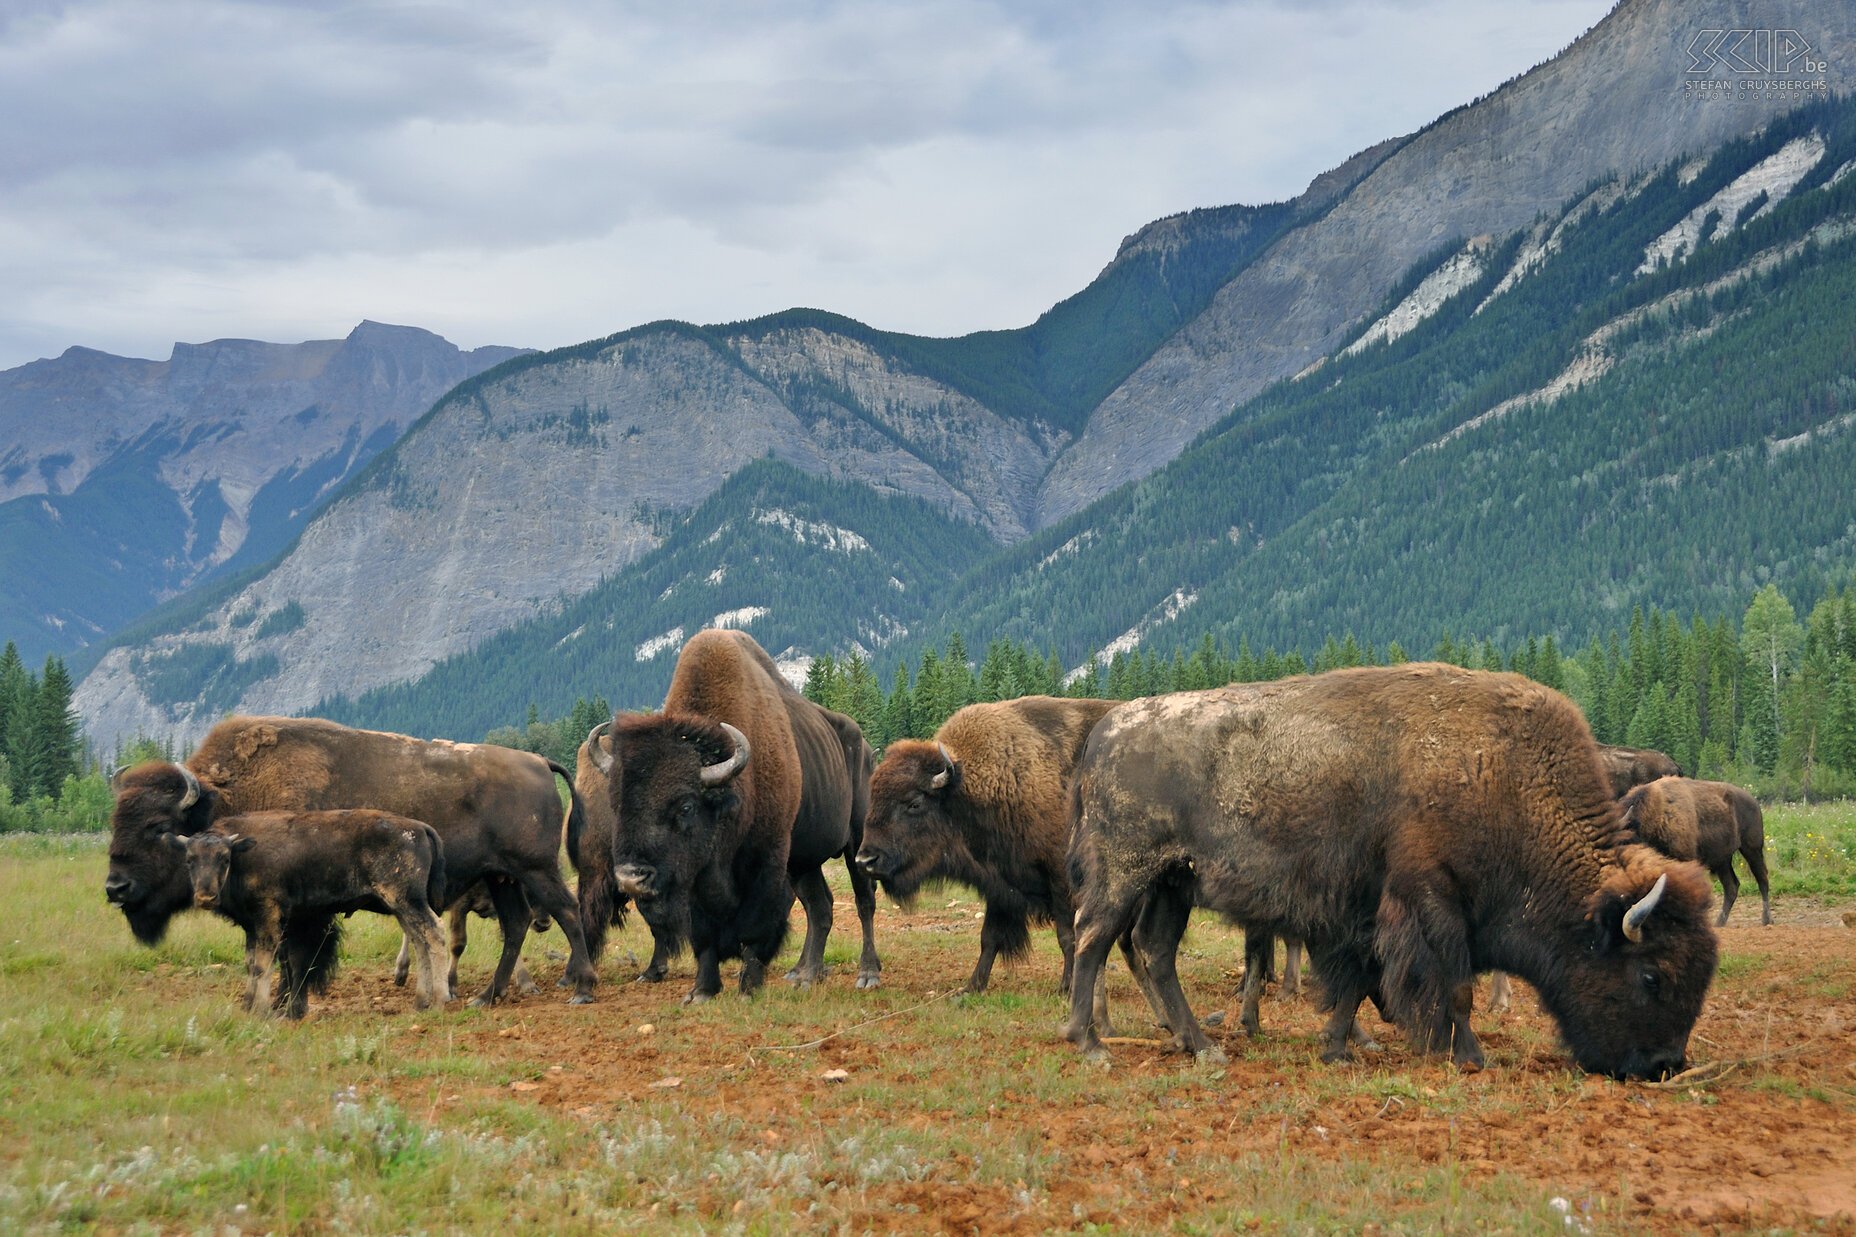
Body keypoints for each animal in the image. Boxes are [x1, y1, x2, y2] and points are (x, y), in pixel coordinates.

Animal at [175, 806, 447, 1017]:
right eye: (189, 859)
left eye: (224, 858)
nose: (205, 897)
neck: (243, 852)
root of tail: (420, 827)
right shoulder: (251, 926)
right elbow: (251, 963)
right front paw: (247, 1006)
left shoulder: (268, 917)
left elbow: (264, 965)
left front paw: (261, 1010)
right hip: (401, 907)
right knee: (420, 942)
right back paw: (420, 1001)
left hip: (407, 901)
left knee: (435, 934)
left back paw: (439, 1000)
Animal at [593, 631, 883, 995]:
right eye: (615, 803)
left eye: (686, 806)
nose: (632, 878)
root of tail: (865, 747)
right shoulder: (697, 879)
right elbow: (703, 936)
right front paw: (701, 992)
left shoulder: (768, 863)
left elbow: (755, 929)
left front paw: (749, 987)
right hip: (804, 860)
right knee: (820, 906)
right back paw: (804, 974)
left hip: (856, 842)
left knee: (863, 901)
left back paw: (867, 973)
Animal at [1069, 661, 1714, 1077]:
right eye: (1651, 975)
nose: (1663, 1065)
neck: (1500, 778)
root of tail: (1104, 733)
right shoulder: (1430, 899)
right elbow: (1454, 986)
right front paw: (1469, 1057)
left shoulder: (1364, 913)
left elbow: (1357, 982)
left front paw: (1337, 1049)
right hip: (1126, 871)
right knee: (1092, 936)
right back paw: (1090, 1043)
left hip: (1173, 882)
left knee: (1155, 950)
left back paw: (1200, 1046)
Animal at [1625, 776, 1766, 921]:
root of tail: (1754, 802)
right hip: (1723, 861)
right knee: (1731, 886)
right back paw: (1719, 922)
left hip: (1752, 849)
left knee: (1762, 879)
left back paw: (1766, 919)